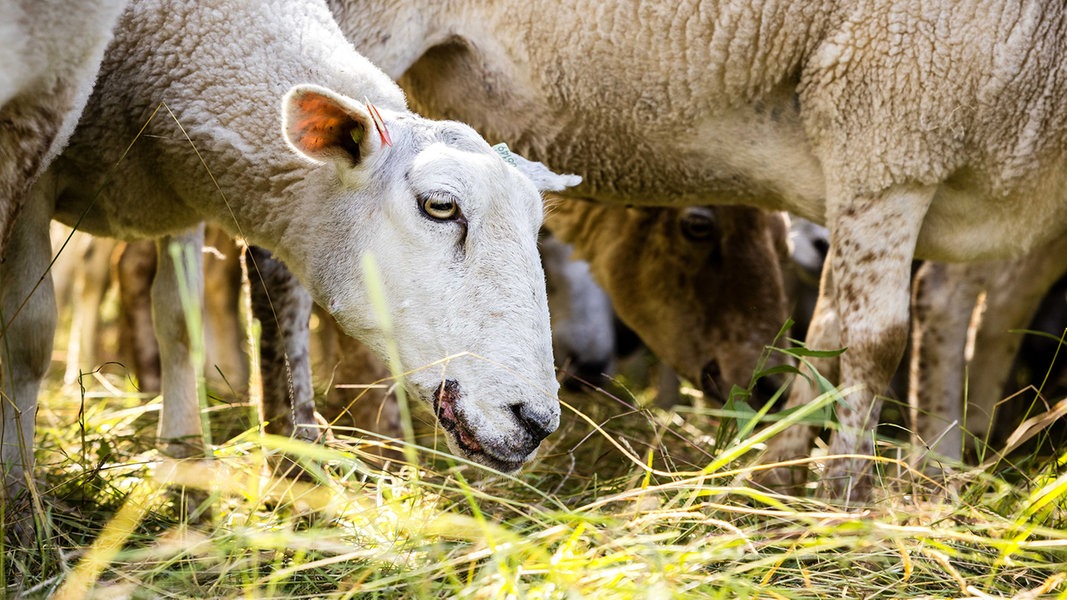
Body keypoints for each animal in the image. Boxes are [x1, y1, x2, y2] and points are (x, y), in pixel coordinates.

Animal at [0, 0, 584, 508]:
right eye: (440, 206)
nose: (536, 424)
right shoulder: (37, 167)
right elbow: (29, 335)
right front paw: (19, 495)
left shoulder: (180, 188)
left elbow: (179, 323)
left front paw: (185, 468)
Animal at [332, 1, 1067, 499]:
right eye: (696, 226)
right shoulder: (891, 132)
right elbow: (872, 340)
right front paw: (842, 502)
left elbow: (832, 333)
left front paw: (779, 482)